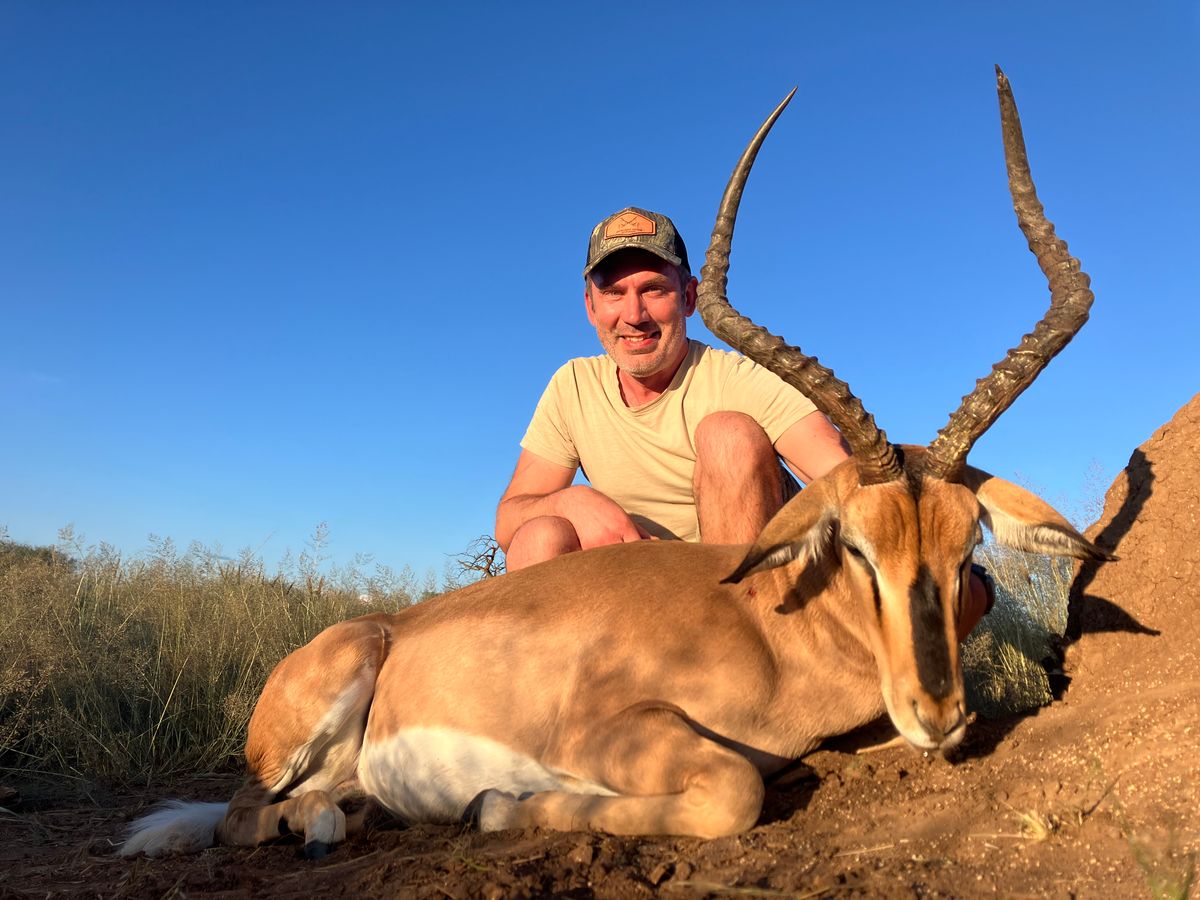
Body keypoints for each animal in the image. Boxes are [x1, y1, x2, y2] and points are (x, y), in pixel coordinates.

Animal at [121, 68, 1112, 859]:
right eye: (860, 548)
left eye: (967, 548)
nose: (940, 716)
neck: (766, 626)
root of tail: (383, 626)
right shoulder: (609, 732)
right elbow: (732, 791)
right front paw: (495, 807)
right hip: (318, 706)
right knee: (241, 815)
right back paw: (324, 825)